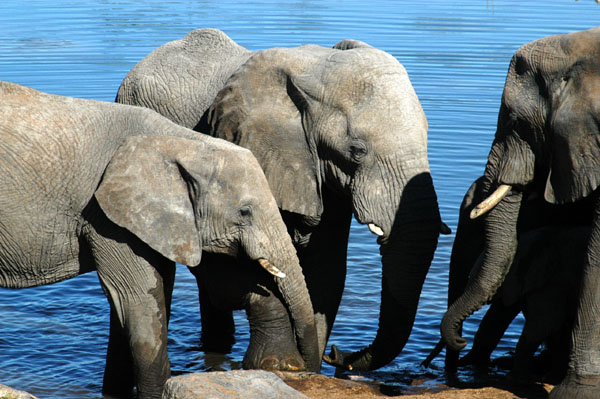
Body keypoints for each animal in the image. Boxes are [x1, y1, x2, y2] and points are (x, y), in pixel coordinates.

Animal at [0, 81, 318, 399]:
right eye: (245, 212)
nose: (311, 368)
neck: (181, 142)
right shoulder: (108, 217)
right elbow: (137, 299)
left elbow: (162, 291)